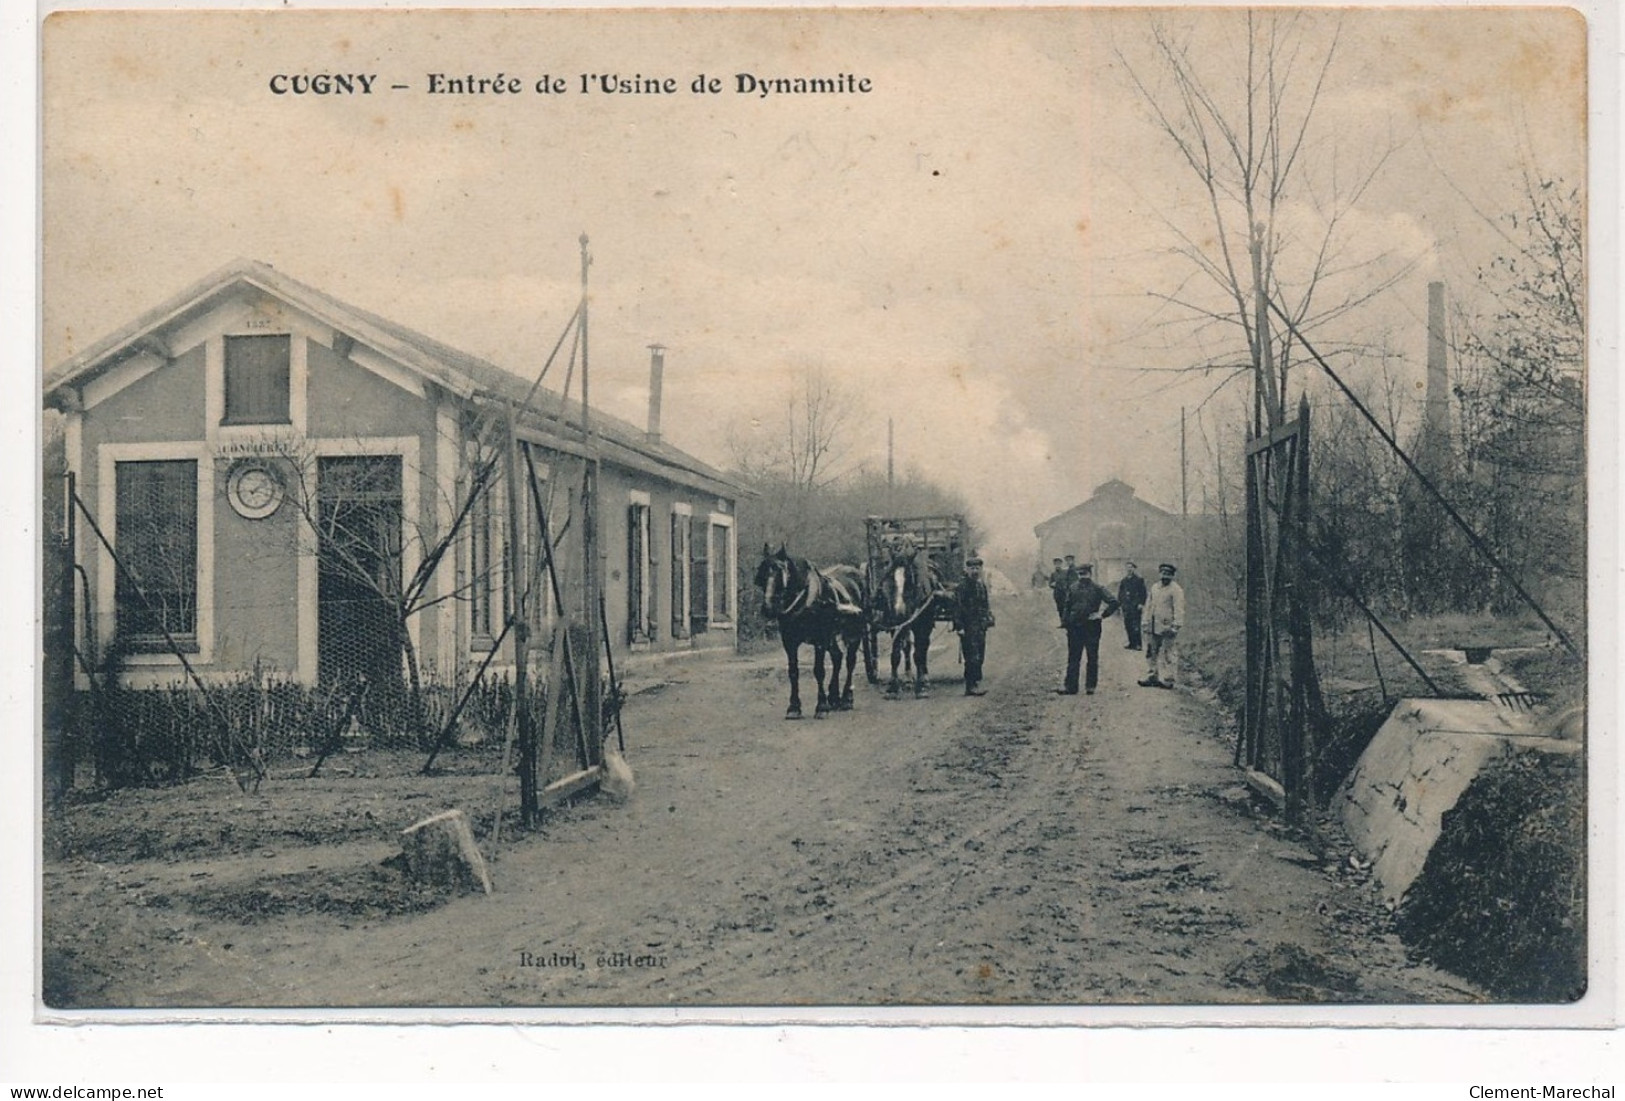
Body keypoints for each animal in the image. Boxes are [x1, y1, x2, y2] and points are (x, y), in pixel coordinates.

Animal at [750, 545, 877, 724]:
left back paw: (846, 698)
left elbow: (819, 671)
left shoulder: (820, 640)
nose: (768, 608)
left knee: (850, 661)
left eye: (780, 572)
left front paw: (821, 707)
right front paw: (794, 708)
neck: (804, 601)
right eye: (762, 573)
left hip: (855, 631)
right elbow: (793, 671)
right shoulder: (789, 641)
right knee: (837, 657)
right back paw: (834, 697)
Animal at [877, 552, 942, 698]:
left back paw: (924, 677)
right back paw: (908, 678)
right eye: (890, 581)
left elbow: (919, 653)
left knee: (924, 647)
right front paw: (893, 687)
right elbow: (896, 654)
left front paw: (921, 686)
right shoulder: (895, 625)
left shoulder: (921, 626)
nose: (899, 613)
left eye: (910, 582)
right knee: (907, 647)